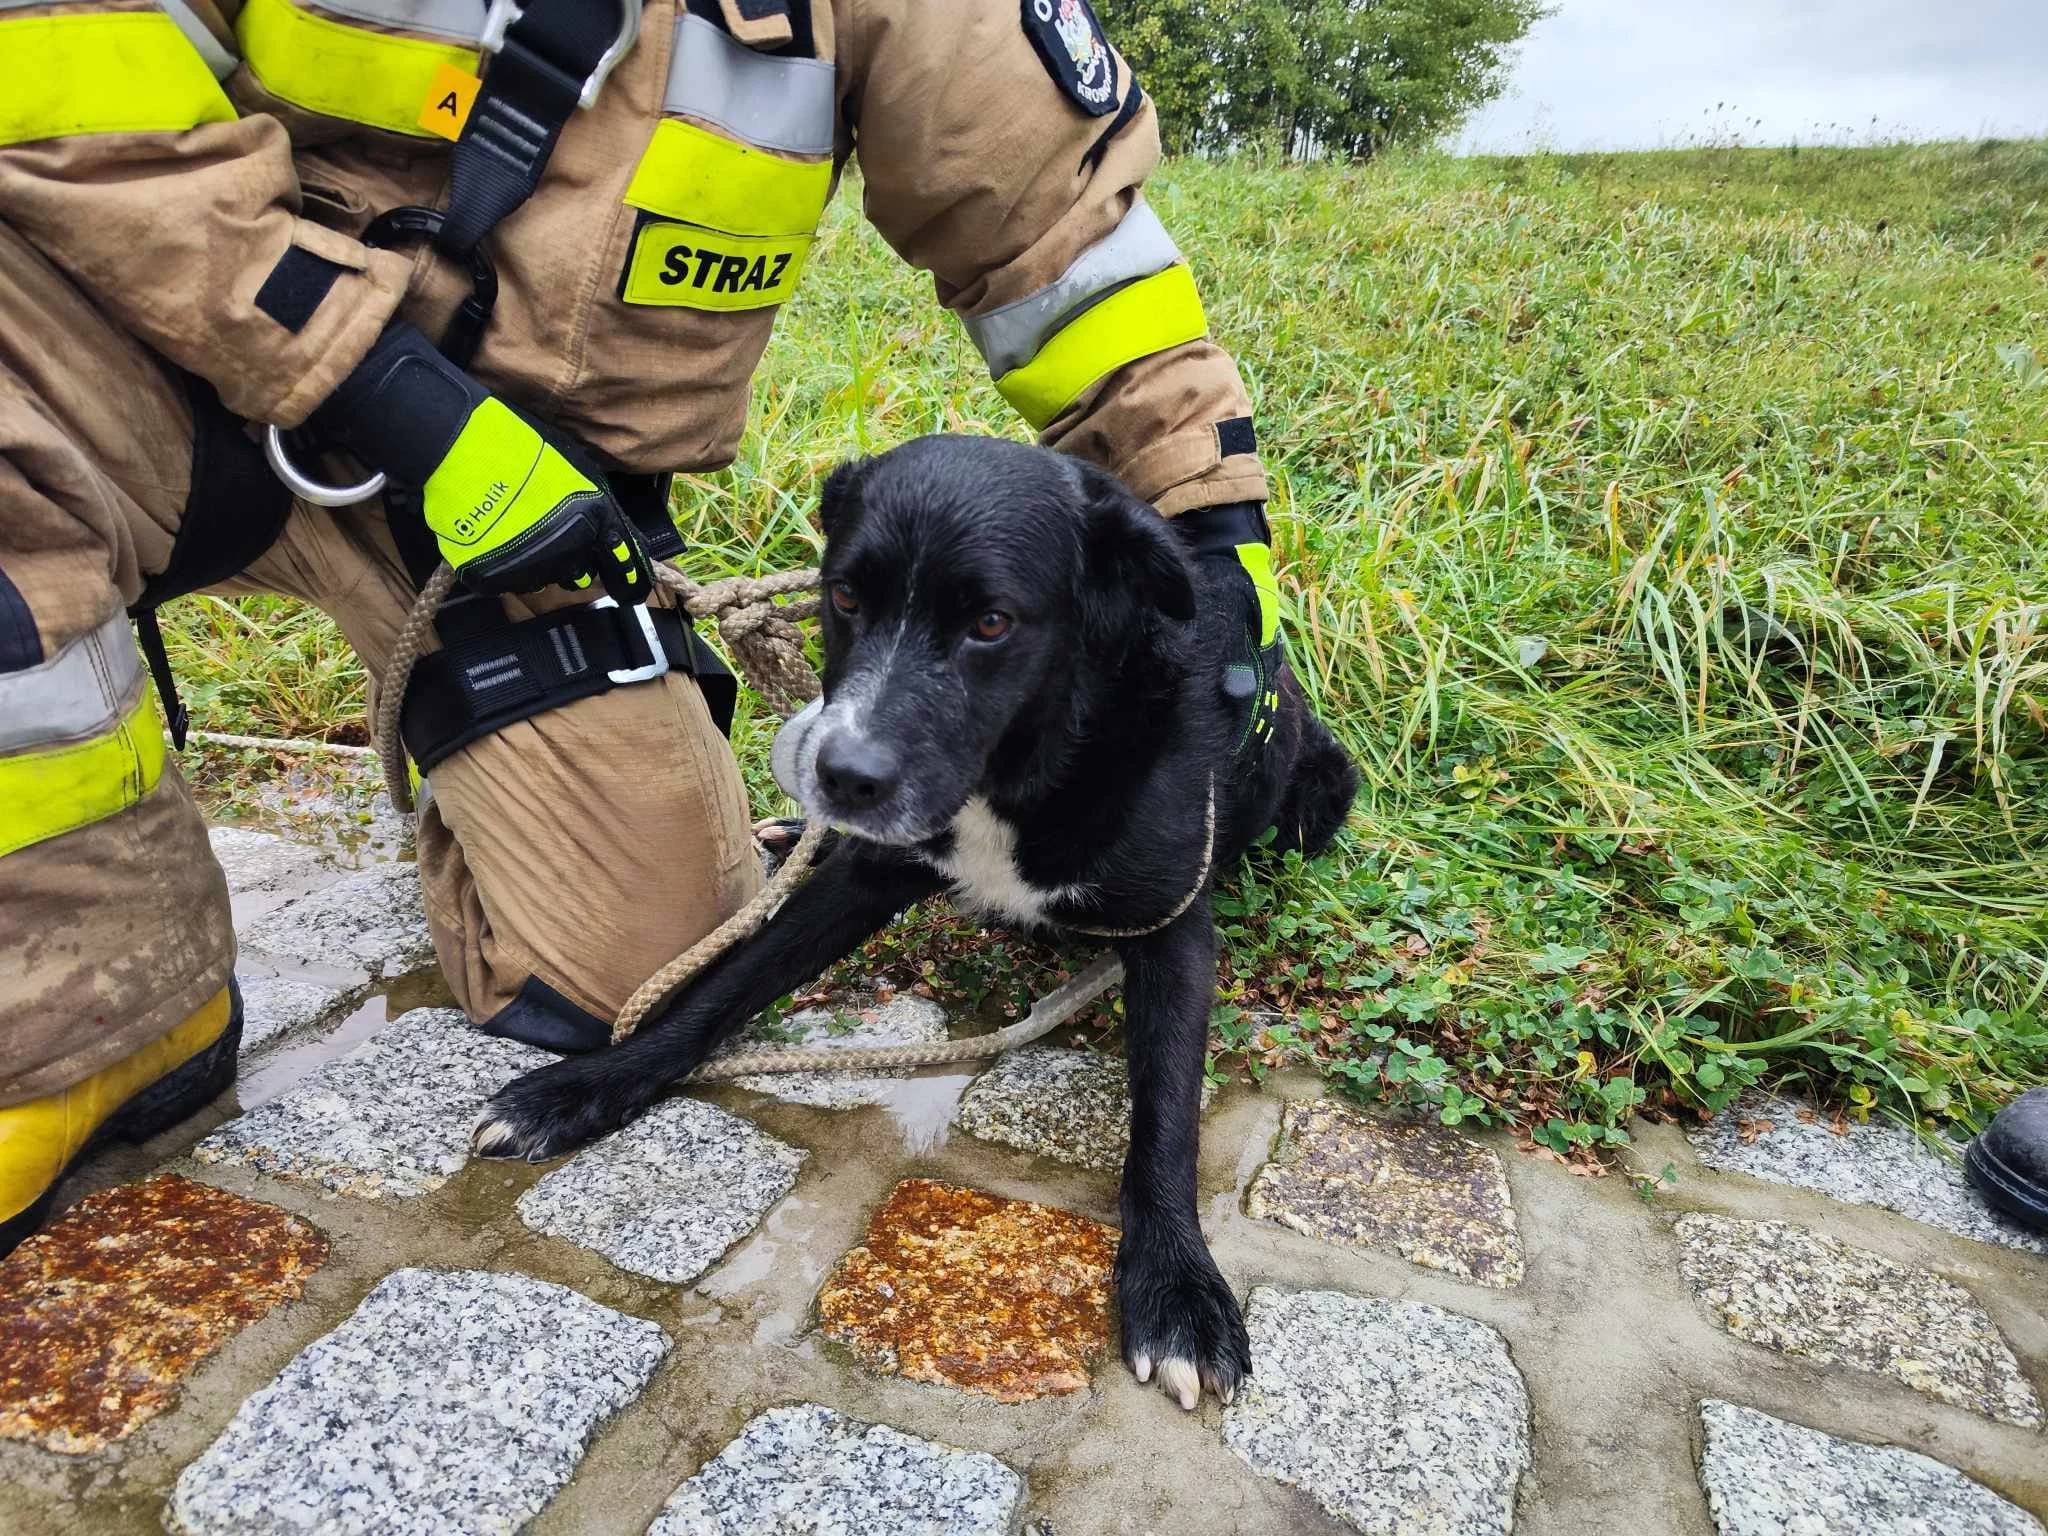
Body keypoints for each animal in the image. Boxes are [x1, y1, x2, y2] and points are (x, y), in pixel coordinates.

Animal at [471, 438, 1351, 1417]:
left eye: (992, 623)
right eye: (846, 598)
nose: (840, 776)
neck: (1019, 772)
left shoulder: (1174, 929)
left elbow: (1165, 1115)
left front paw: (1176, 1289)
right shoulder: (865, 874)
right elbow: (724, 985)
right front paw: (584, 1088)